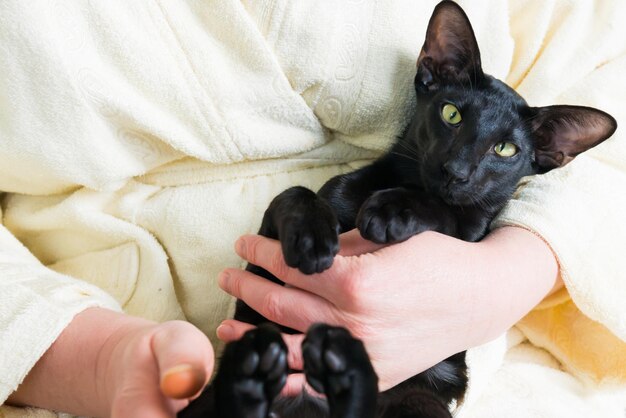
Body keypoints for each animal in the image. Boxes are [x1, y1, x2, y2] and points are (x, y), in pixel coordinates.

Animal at [177, 1, 616, 416]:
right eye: (451, 113)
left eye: (505, 149)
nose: (456, 170)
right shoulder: (261, 289)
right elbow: (294, 193)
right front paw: (310, 238)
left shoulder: (467, 234)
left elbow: (447, 213)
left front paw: (391, 210)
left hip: (421, 401)